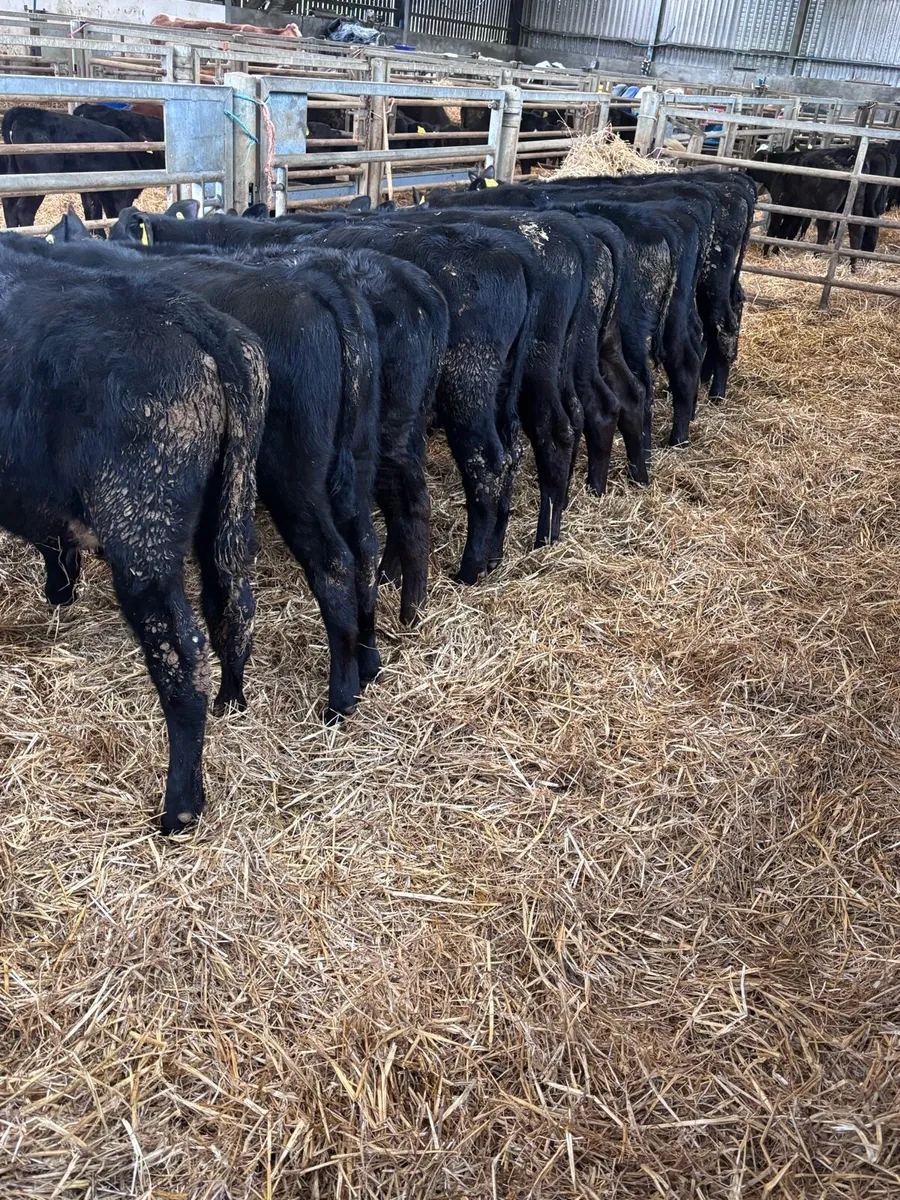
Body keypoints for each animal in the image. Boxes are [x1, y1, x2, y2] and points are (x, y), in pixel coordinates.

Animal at [0, 239, 267, 834]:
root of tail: (196, 325)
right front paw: (59, 595)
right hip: (232, 505)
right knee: (233, 604)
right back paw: (232, 700)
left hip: (142, 534)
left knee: (180, 654)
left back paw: (180, 807)